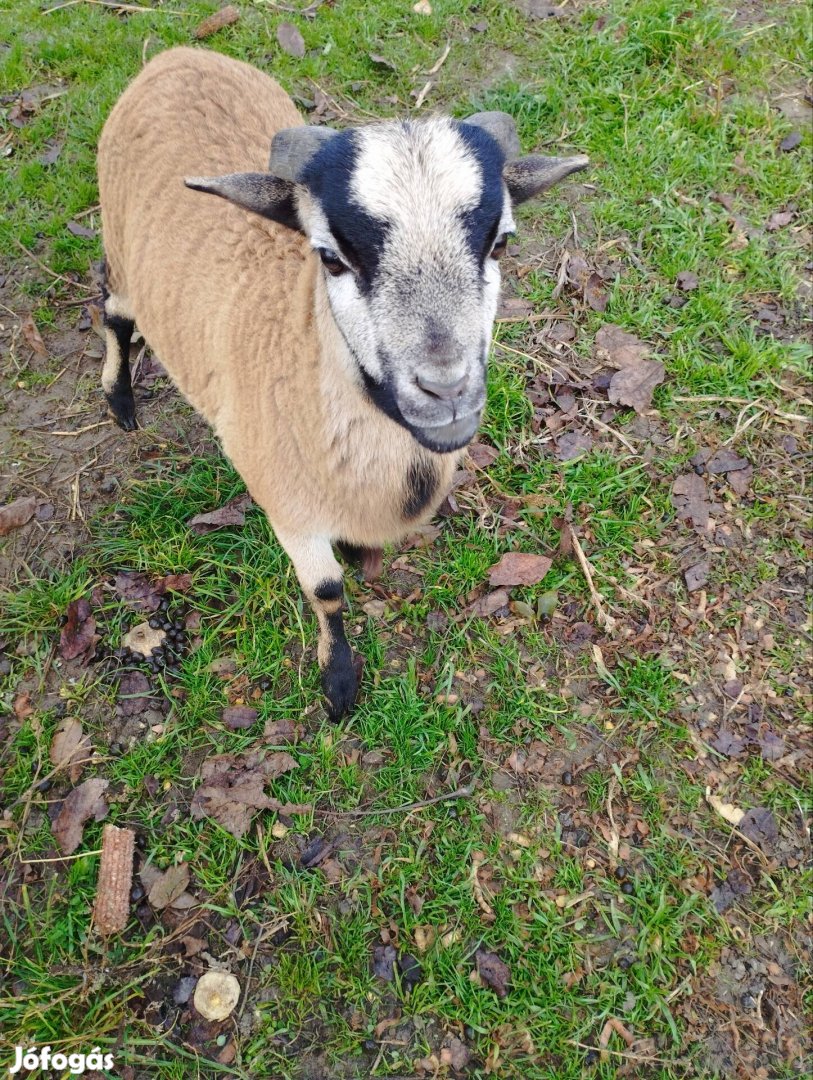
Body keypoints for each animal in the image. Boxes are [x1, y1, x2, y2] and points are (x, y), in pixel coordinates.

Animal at [98, 46, 587, 717]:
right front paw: (338, 683)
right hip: (121, 255)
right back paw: (120, 400)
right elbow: (327, 591)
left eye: (501, 244)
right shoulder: (287, 503)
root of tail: (177, 55)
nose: (446, 390)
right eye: (330, 257)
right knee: (114, 312)